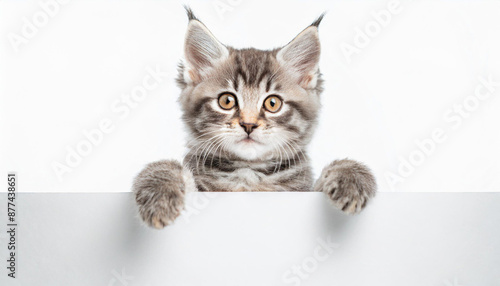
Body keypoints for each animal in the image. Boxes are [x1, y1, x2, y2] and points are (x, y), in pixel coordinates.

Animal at [133, 7, 376, 229]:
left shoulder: (302, 191)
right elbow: (165, 167)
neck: (248, 173)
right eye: (227, 101)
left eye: (272, 103)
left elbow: (340, 165)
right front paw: (160, 197)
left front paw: (352, 179)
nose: (248, 125)